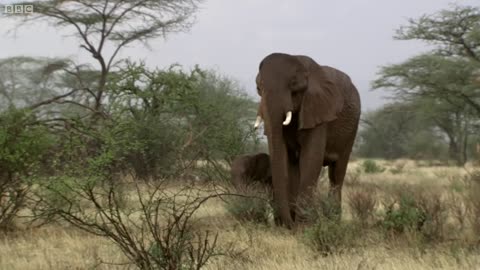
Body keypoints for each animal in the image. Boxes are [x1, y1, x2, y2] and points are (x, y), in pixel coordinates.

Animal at [255, 52, 360, 228]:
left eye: (294, 87)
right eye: (258, 88)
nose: (287, 225)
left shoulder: (318, 110)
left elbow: (310, 159)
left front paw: (304, 227)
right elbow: (286, 159)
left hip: (351, 129)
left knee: (336, 175)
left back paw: (333, 222)